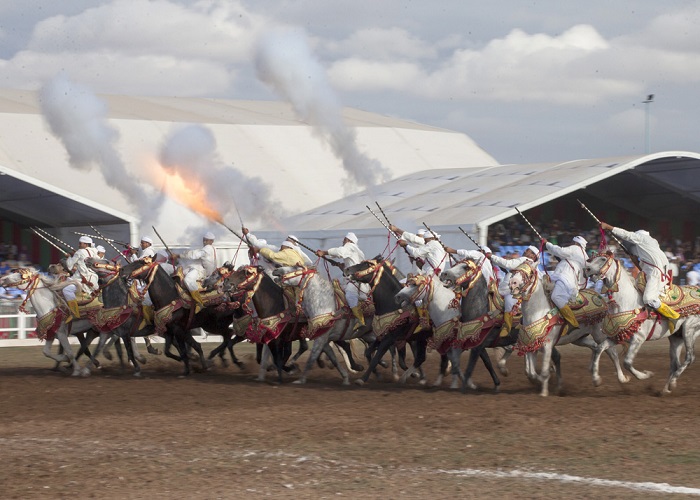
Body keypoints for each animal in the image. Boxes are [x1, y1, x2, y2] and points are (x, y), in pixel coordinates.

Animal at [506, 262, 628, 394]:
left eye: (530, 273)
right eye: (514, 272)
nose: (512, 283)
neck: (537, 311)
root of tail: (604, 301)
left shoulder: (547, 345)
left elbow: (543, 372)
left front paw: (544, 392)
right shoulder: (531, 344)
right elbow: (530, 372)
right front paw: (547, 382)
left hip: (599, 335)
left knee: (612, 353)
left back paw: (620, 378)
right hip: (578, 338)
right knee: (595, 347)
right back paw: (594, 374)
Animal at [584, 252, 700, 392]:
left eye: (602, 259)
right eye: (591, 259)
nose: (586, 269)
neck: (627, 302)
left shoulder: (638, 339)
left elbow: (627, 362)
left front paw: (646, 375)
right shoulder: (617, 336)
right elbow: (599, 349)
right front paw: (596, 379)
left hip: (689, 329)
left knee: (689, 358)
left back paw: (671, 383)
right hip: (676, 337)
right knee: (675, 363)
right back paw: (666, 389)